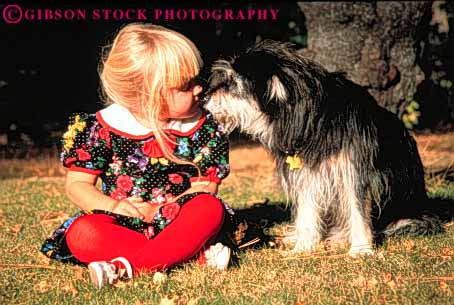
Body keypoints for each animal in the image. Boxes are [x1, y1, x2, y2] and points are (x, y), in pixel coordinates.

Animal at [203, 39, 440, 254]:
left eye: (233, 83)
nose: (204, 97)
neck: (315, 119)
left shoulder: (356, 172)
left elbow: (358, 210)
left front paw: (361, 249)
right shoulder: (307, 173)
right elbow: (307, 212)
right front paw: (303, 246)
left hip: (411, 219)